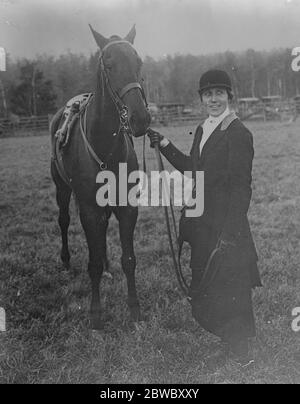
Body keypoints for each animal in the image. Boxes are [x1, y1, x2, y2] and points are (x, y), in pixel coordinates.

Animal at [50, 24, 152, 328]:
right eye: (109, 64)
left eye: (139, 62)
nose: (140, 118)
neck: (104, 142)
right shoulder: (88, 207)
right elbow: (92, 262)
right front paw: (96, 315)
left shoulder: (127, 206)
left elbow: (128, 259)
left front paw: (134, 310)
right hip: (62, 189)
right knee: (63, 220)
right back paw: (66, 261)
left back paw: (108, 266)